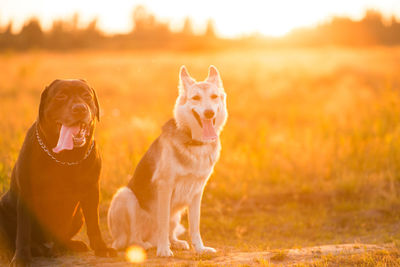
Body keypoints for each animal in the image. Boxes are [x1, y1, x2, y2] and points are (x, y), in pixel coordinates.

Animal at [0, 78, 115, 266]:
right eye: (61, 96)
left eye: (86, 95)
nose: (79, 108)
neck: (66, 157)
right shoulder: (26, 193)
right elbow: (23, 230)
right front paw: (21, 257)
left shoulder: (91, 191)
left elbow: (94, 223)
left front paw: (101, 248)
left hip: (78, 215)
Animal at [108, 65, 227, 258]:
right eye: (196, 98)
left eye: (214, 97)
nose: (209, 113)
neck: (194, 142)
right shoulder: (165, 187)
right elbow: (162, 222)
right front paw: (164, 250)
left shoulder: (197, 192)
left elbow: (195, 225)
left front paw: (200, 248)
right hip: (126, 196)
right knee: (133, 239)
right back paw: (148, 245)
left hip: (176, 214)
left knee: (169, 231)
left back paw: (175, 243)